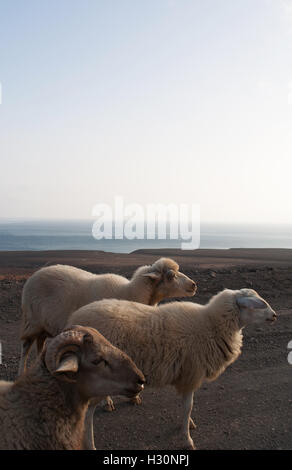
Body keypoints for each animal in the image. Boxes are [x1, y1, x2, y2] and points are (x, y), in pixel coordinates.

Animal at [18, 258, 196, 374]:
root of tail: (36, 274)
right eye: (171, 276)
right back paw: (22, 372)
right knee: (26, 347)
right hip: (32, 321)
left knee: (40, 343)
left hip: (43, 325)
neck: (129, 292)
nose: (194, 285)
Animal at [67, 288, 278, 450]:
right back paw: (91, 444)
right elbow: (188, 407)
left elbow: (186, 407)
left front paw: (189, 425)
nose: (275, 315)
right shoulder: (192, 374)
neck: (211, 325)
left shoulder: (187, 374)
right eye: (258, 304)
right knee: (87, 415)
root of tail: (73, 321)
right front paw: (187, 439)